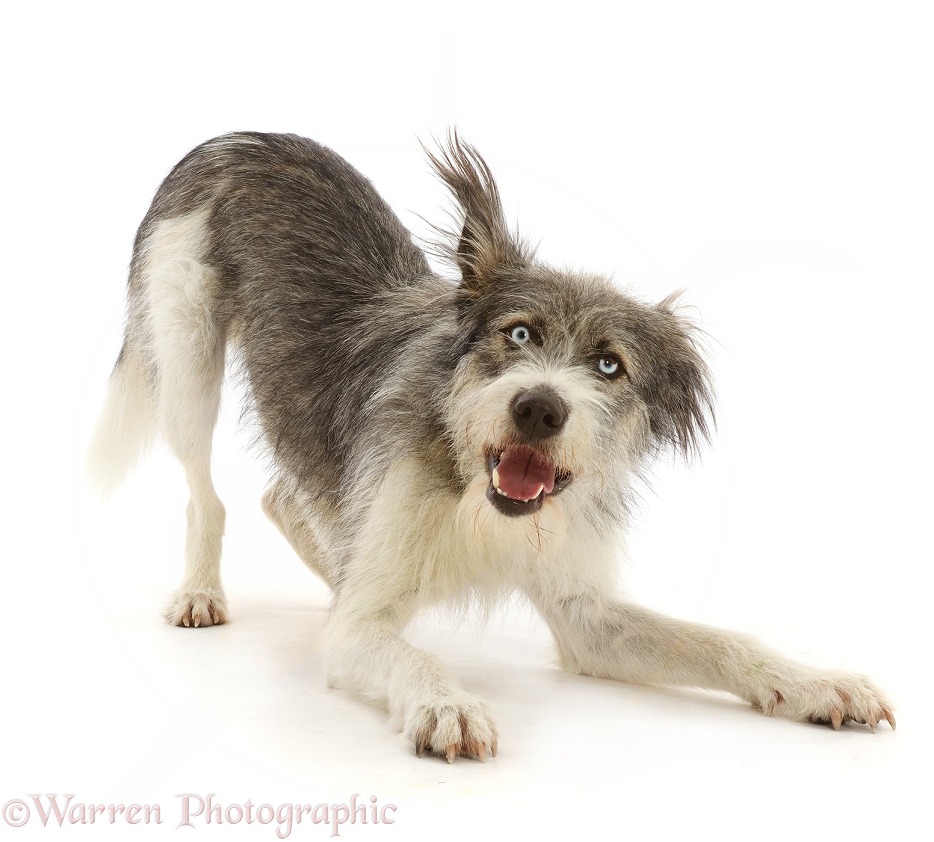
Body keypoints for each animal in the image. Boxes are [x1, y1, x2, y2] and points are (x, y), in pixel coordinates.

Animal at [89, 133, 900, 760]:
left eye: (610, 365)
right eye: (519, 333)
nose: (538, 406)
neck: (471, 493)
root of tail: (239, 140)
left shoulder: (589, 621)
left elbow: (718, 641)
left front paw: (817, 682)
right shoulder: (359, 632)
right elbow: (397, 647)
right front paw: (445, 703)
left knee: (287, 498)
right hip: (185, 361)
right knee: (207, 493)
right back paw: (202, 591)